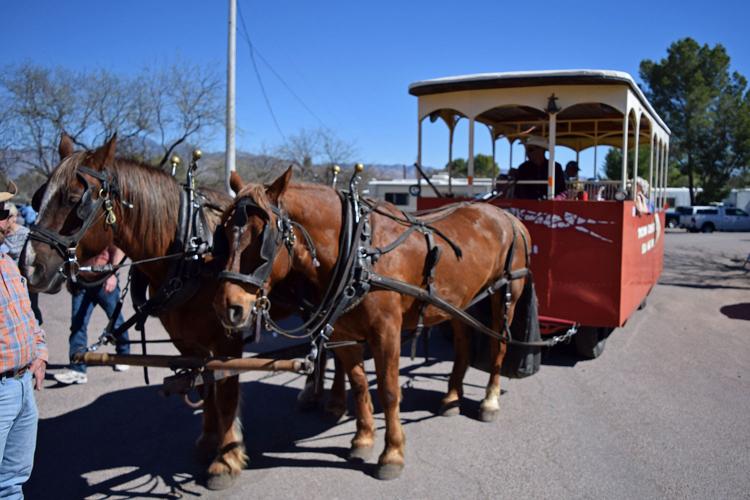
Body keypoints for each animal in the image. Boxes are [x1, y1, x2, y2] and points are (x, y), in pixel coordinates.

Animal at [21, 135, 244, 490]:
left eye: (75, 200)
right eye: (39, 198)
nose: (29, 266)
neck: (193, 249)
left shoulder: (228, 341)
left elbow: (226, 395)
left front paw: (226, 460)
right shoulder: (190, 341)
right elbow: (207, 386)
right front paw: (209, 442)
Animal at [213, 169, 536, 480]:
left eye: (263, 238)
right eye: (225, 233)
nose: (230, 307)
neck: (358, 252)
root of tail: (508, 218)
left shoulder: (386, 333)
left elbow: (389, 391)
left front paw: (392, 454)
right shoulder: (343, 333)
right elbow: (358, 384)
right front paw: (363, 438)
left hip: (506, 292)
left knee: (499, 345)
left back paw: (489, 400)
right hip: (459, 303)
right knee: (463, 345)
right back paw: (452, 398)